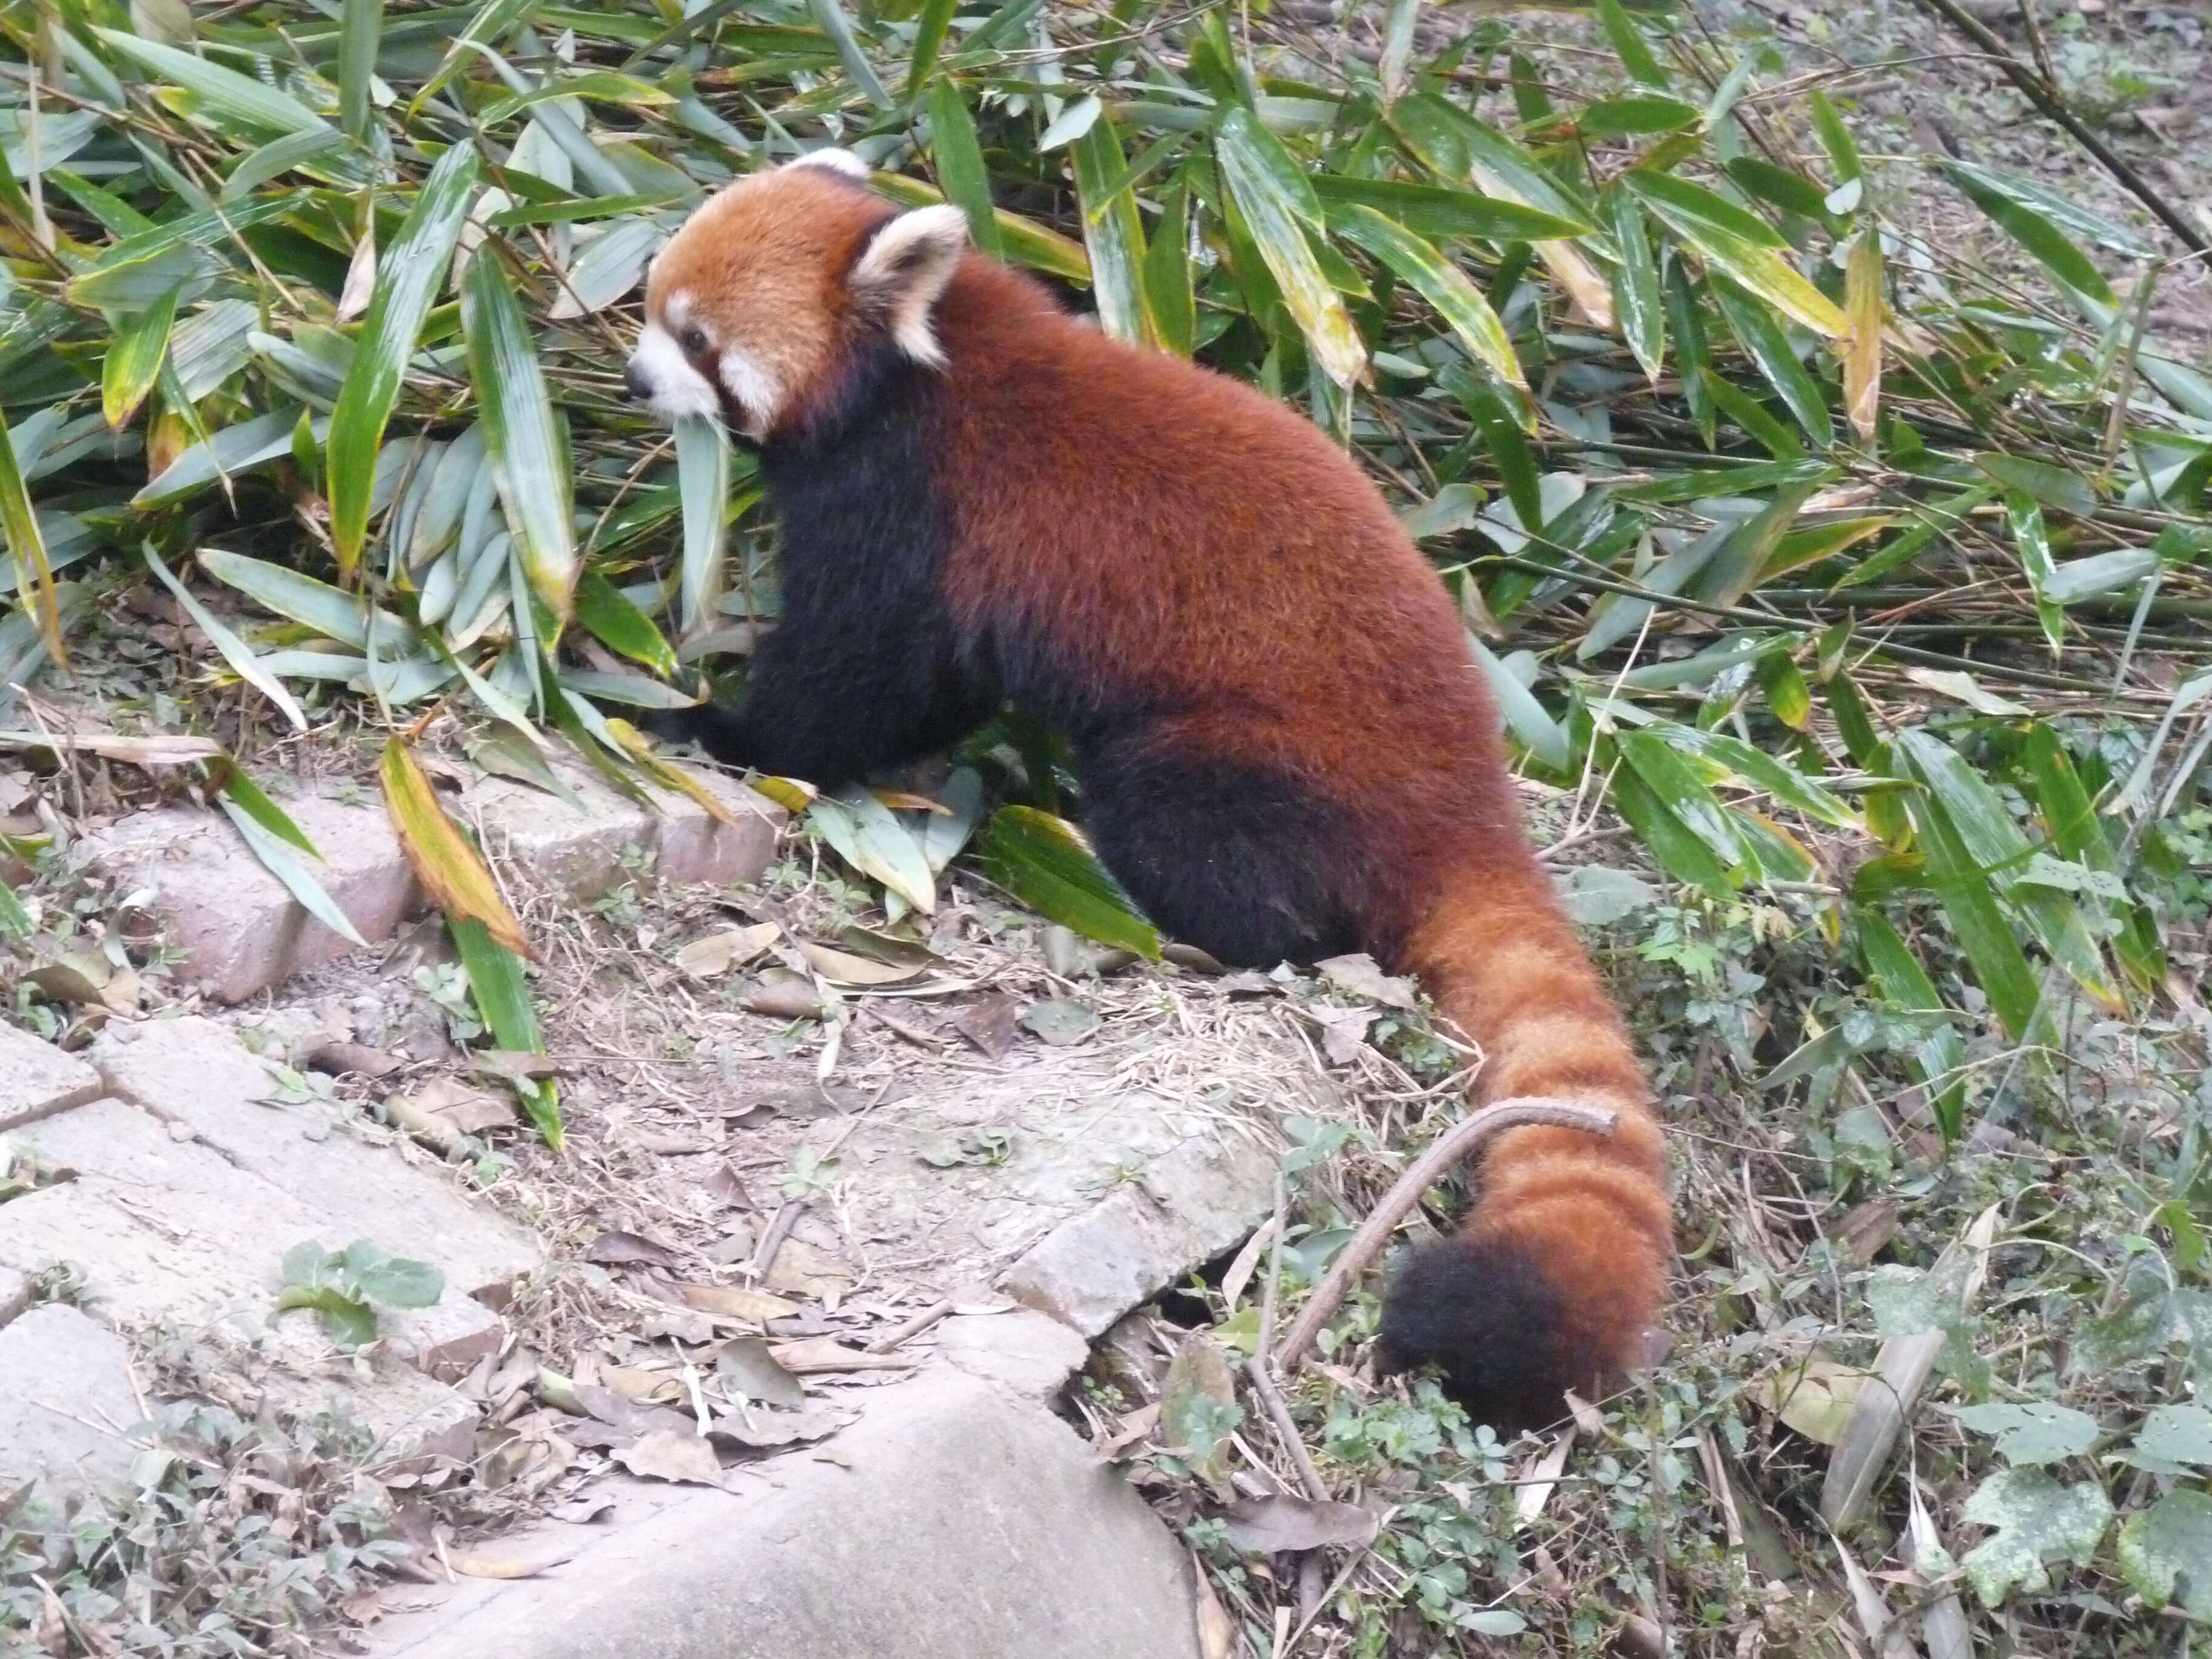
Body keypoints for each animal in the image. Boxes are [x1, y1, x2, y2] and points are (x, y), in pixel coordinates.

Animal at [632, 149, 1663, 1433]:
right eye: (654, 303)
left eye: (697, 336)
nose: (634, 376)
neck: (914, 369)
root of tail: (1470, 800)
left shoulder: (917, 513)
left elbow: (862, 680)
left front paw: (713, 724)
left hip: (1253, 764)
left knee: (1202, 845)